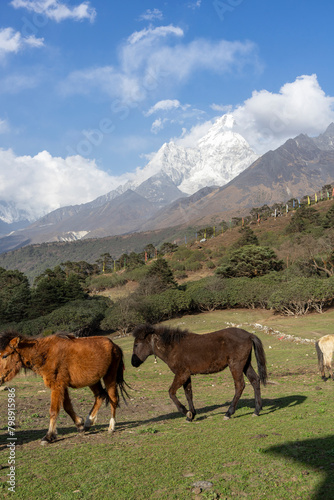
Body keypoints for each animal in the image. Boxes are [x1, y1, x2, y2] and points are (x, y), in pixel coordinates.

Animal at [0, 330, 129, 444]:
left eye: (4, 356)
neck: (44, 354)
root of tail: (115, 346)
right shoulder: (62, 386)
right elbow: (67, 407)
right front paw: (80, 424)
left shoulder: (57, 386)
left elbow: (53, 411)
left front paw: (49, 436)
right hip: (93, 380)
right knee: (100, 395)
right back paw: (88, 422)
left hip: (110, 377)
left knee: (113, 399)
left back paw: (111, 426)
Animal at [132, 324, 268, 422]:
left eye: (136, 344)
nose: (133, 362)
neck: (173, 348)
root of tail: (249, 335)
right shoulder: (186, 375)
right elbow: (188, 394)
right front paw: (191, 415)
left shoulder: (181, 374)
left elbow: (171, 392)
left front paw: (186, 412)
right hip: (245, 364)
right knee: (255, 380)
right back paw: (256, 411)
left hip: (236, 365)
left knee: (240, 385)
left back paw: (228, 413)